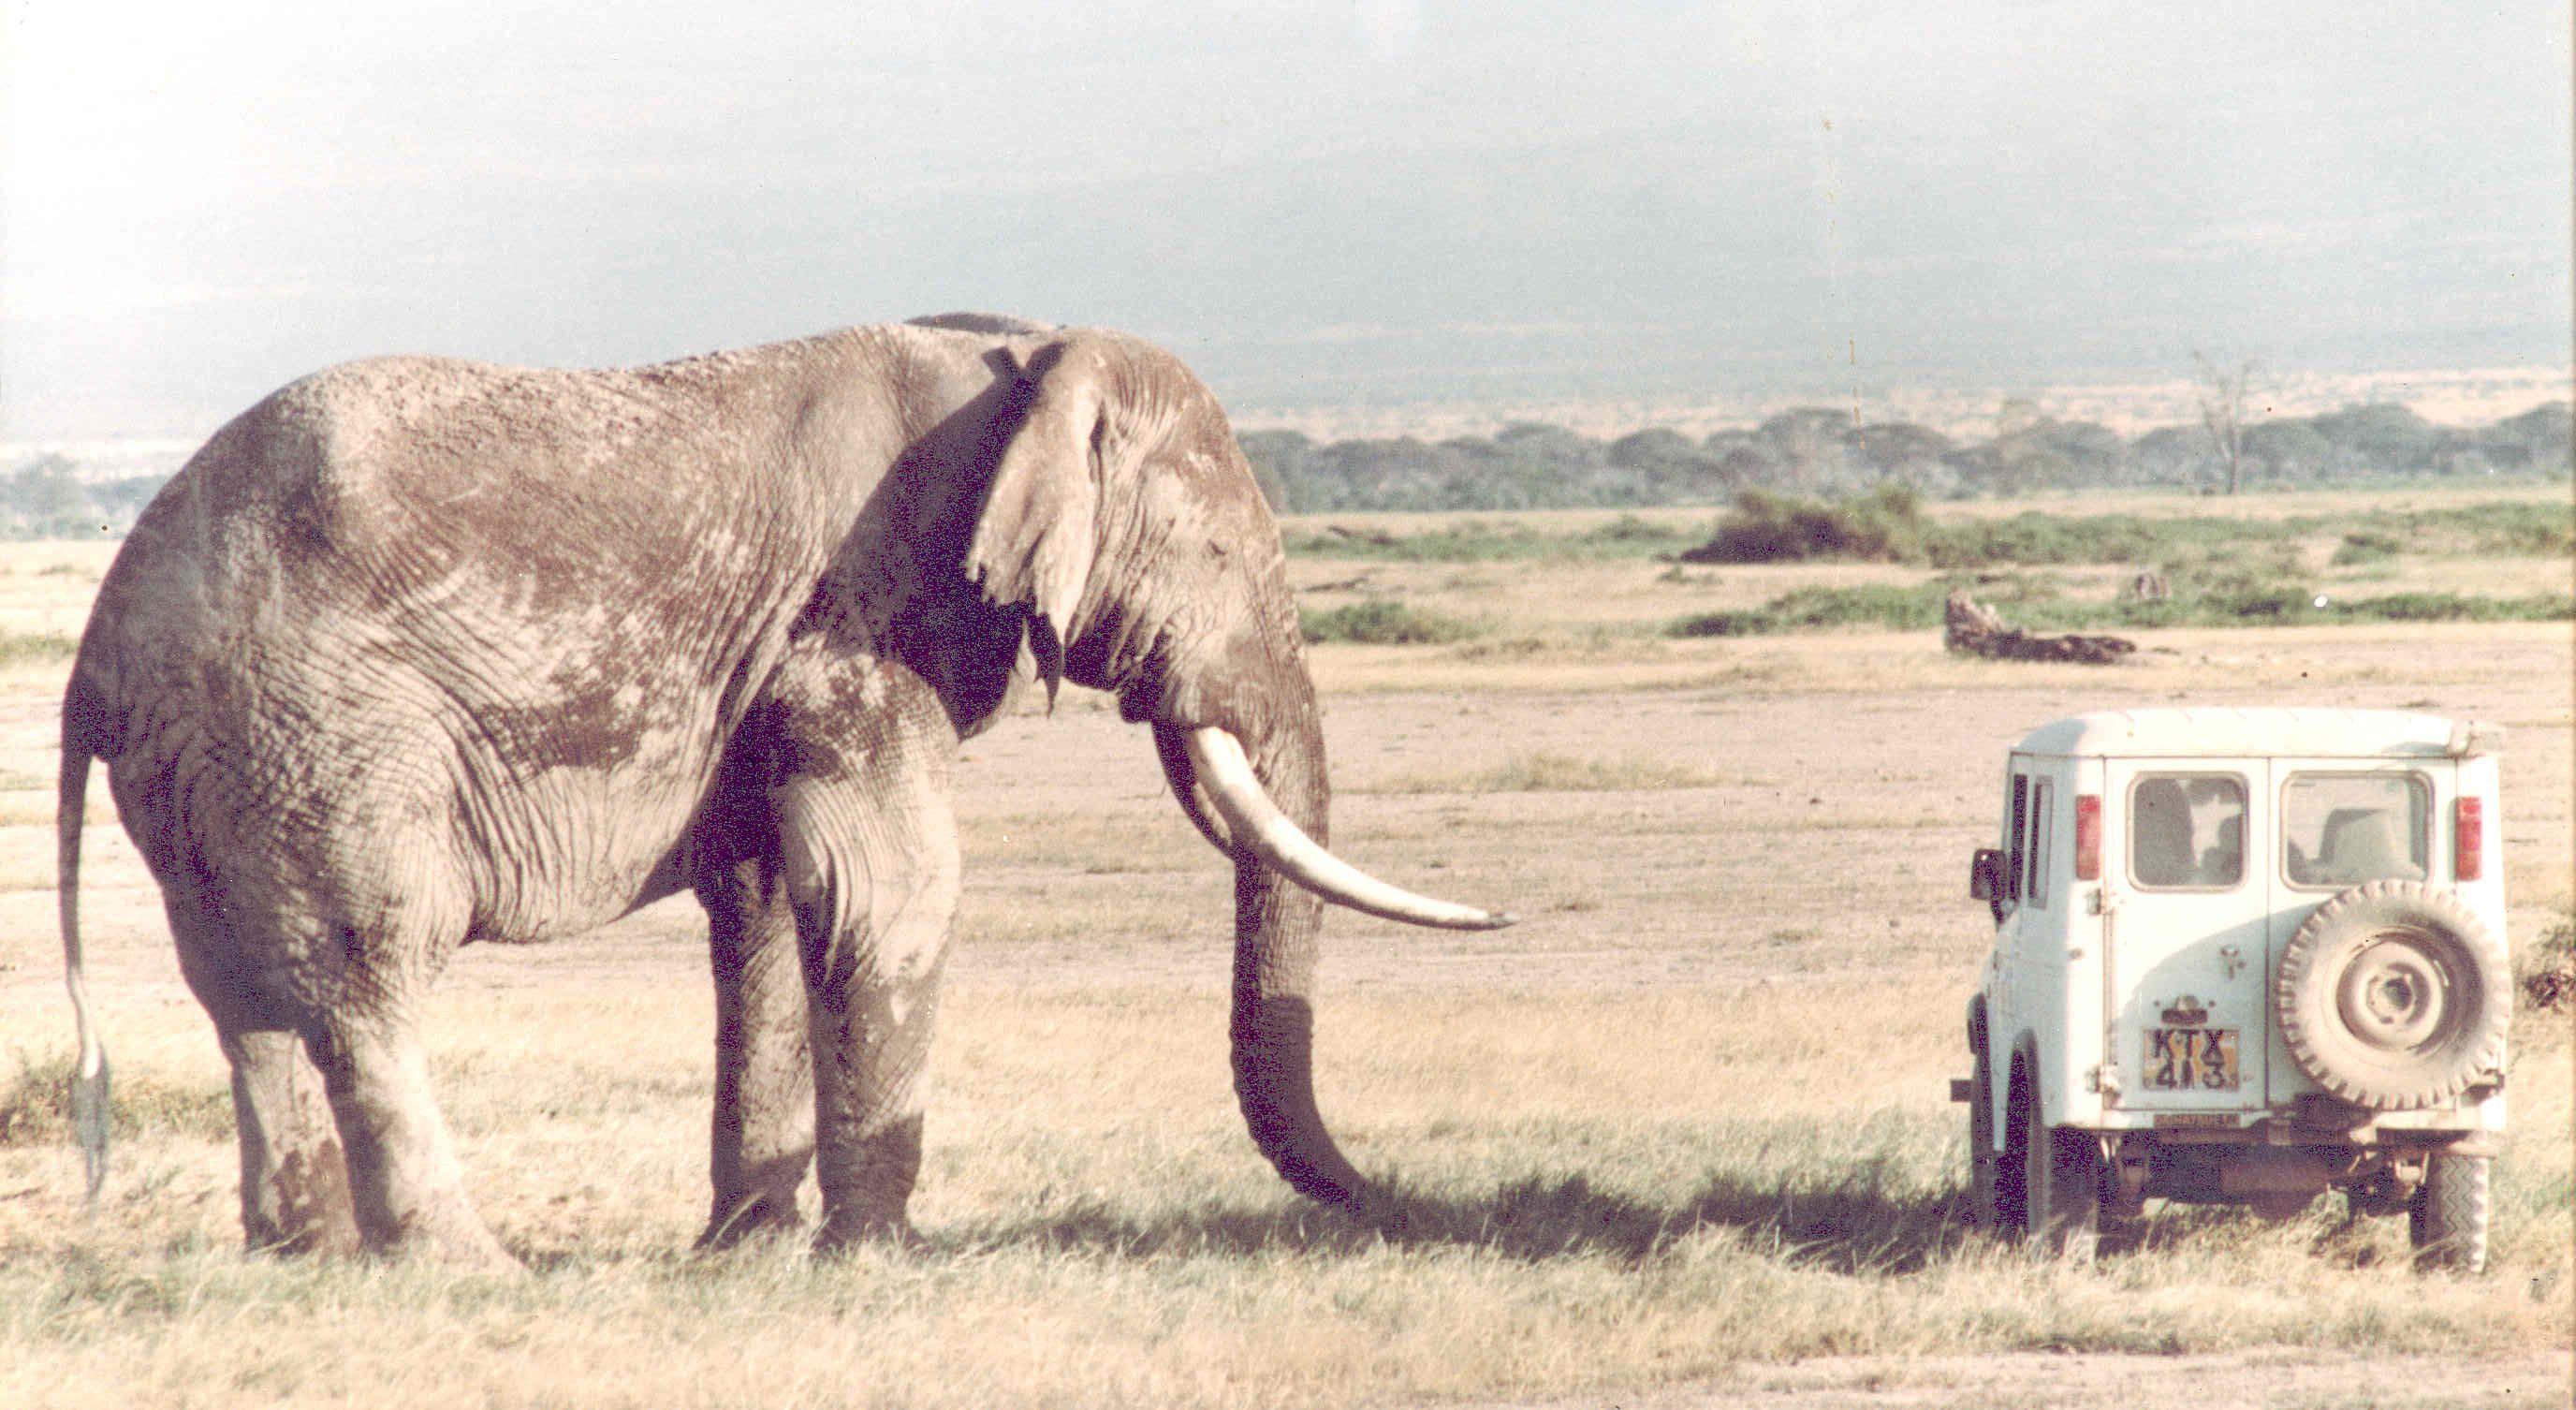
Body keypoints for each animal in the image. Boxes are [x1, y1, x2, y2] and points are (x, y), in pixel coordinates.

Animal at [54, 313, 1512, 1264]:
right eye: (1213, 552)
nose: (1394, 1203)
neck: (1030, 356)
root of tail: (102, 636)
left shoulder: (777, 672)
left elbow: (760, 907)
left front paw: (749, 1252)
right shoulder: (853, 622)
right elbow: (888, 888)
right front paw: (883, 1260)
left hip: (205, 765)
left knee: (240, 996)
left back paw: (301, 1257)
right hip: (314, 729)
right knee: (364, 974)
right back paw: (463, 1267)